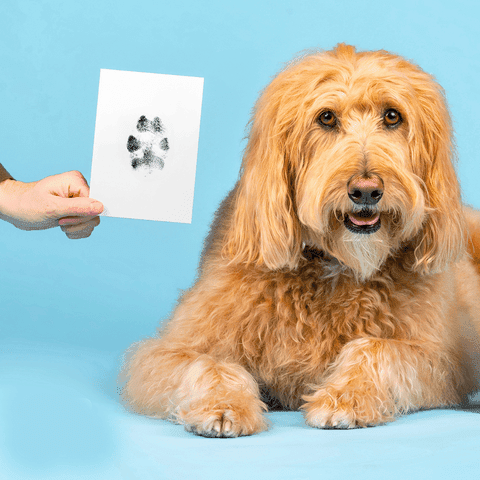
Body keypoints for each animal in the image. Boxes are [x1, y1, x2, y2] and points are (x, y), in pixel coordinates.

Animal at [123, 44, 480, 436]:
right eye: (325, 118)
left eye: (392, 116)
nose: (366, 191)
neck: (335, 265)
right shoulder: (167, 352)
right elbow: (207, 364)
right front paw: (224, 405)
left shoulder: (442, 360)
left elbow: (376, 349)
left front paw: (345, 397)